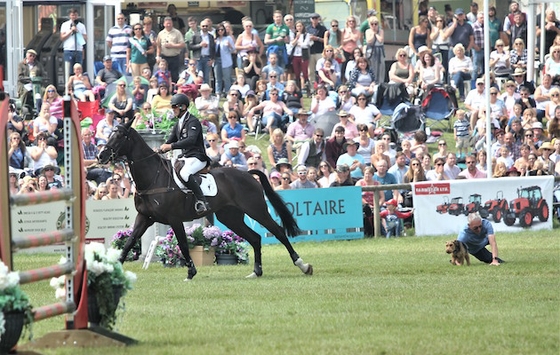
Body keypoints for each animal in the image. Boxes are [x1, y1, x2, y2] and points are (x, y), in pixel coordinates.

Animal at [98, 120, 312, 280]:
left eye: (119, 136)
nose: (101, 156)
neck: (153, 177)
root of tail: (247, 174)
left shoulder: (174, 219)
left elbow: (183, 245)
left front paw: (191, 272)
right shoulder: (145, 218)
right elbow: (128, 243)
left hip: (256, 210)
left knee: (278, 232)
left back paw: (303, 265)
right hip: (230, 217)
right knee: (255, 238)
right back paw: (256, 272)